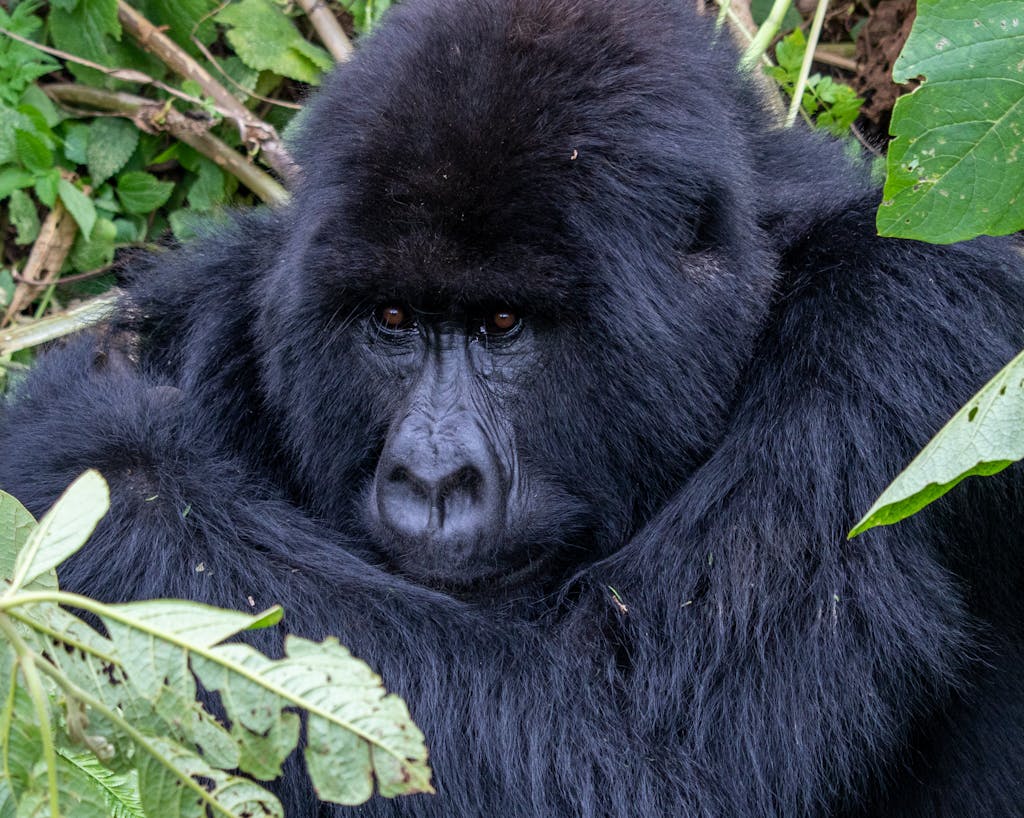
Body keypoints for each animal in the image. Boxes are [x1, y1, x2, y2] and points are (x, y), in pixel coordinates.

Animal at [2, 0, 1024, 814]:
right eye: (392, 319)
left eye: (503, 325)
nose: (430, 478)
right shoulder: (230, 301)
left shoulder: (898, 332)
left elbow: (649, 766)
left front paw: (90, 456)